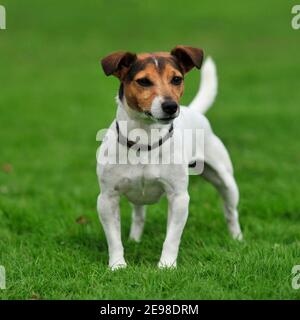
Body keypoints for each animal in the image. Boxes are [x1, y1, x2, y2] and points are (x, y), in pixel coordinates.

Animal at [97, 45, 243, 270]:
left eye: (176, 79)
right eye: (143, 81)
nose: (171, 106)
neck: (145, 141)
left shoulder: (179, 197)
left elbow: (172, 238)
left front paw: (166, 266)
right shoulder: (107, 198)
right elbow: (114, 238)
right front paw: (117, 265)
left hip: (224, 180)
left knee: (230, 211)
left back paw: (236, 238)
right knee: (138, 214)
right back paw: (135, 239)